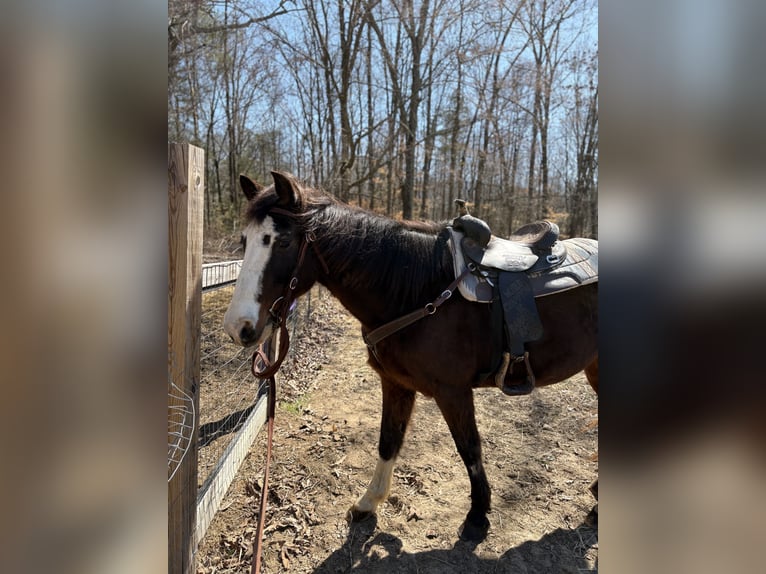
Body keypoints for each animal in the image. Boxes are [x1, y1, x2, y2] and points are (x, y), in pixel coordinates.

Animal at [224, 171, 600, 544]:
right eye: (245, 240)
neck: (418, 291)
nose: (238, 327)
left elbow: (470, 449)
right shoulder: (395, 384)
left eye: (283, 242)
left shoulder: (453, 391)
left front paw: (477, 517)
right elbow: (388, 440)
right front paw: (368, 503)